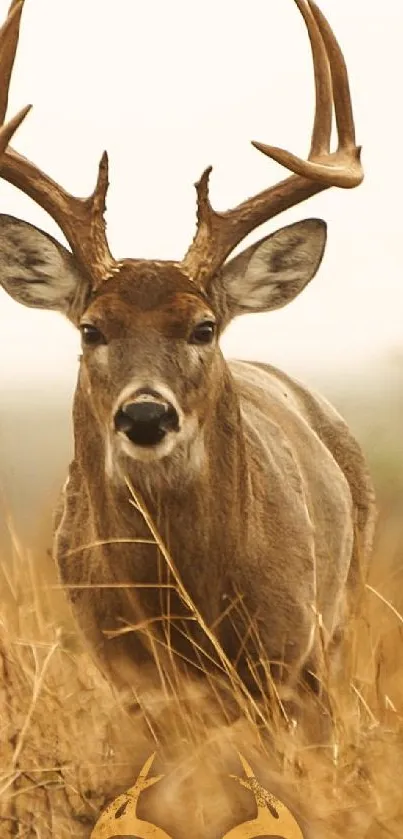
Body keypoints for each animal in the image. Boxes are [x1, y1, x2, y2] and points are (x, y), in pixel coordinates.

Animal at [1, 0, 378, 708]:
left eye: (203, 328)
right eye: (91, 329)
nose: (146, 416)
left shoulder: (289, 659)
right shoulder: (130, 681)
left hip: (343, 613)